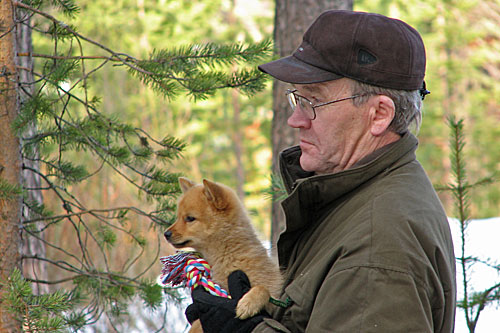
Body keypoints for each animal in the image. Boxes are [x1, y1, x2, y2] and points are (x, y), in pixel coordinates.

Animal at [164, 176, 282, 330]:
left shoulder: (274, 295)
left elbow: (263, 289)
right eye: (178, 217)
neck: (227, 254)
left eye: (189, 218)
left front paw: (248, 303)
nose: (166, 234)